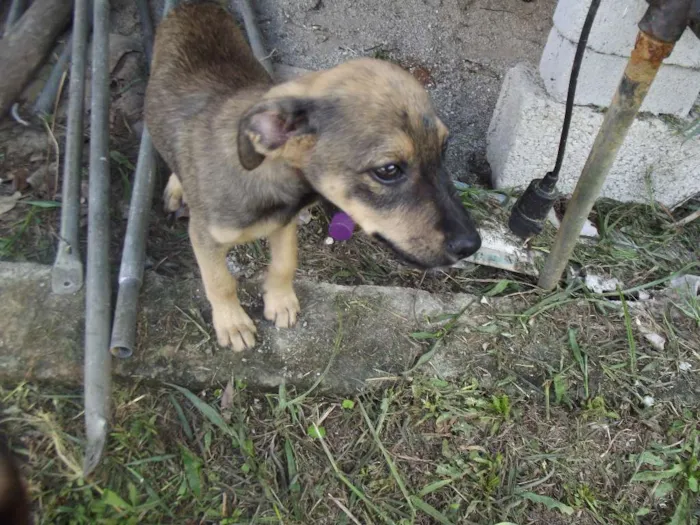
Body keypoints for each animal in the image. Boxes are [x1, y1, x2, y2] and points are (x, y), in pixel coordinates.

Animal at [144, 3, 478, 352]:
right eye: (388, 170)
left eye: (443, 148)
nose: (472, 245)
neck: (273, 181)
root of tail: (194, 5)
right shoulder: (205, 237)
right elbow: (220, 281)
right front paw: (232, 323)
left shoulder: (285, 223)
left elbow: (285, 262)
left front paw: (280, 302)